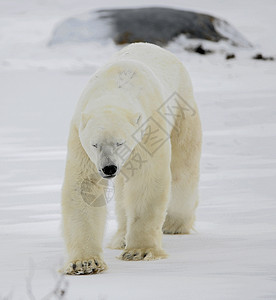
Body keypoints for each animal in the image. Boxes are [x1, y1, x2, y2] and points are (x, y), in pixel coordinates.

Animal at [62, 42, 201, 274]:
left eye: (120, 142)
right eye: (95, 144)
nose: (108, 168)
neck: (115, 87)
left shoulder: (149, 130)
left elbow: (147, 181)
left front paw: (140, 251)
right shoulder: (79, 137)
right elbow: (85, 186)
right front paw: (85, 263)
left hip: (183, 107)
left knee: (183, 165)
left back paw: (174, 224)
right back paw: (121, 237)